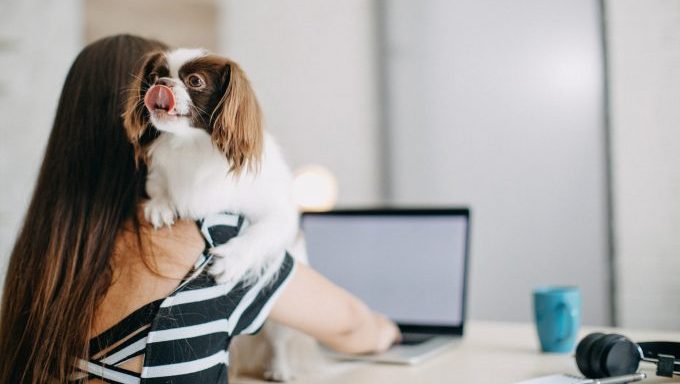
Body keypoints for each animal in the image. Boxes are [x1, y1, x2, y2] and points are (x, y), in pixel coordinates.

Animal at [123, 48, 298, 284]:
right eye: (153, 76)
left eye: (195, 81)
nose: (161, 83)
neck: (190, 143)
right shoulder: (157, 174)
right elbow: (158, 187)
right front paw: (161, 205)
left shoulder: (281, 213)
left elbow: (262, 233)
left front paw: (231, 260)